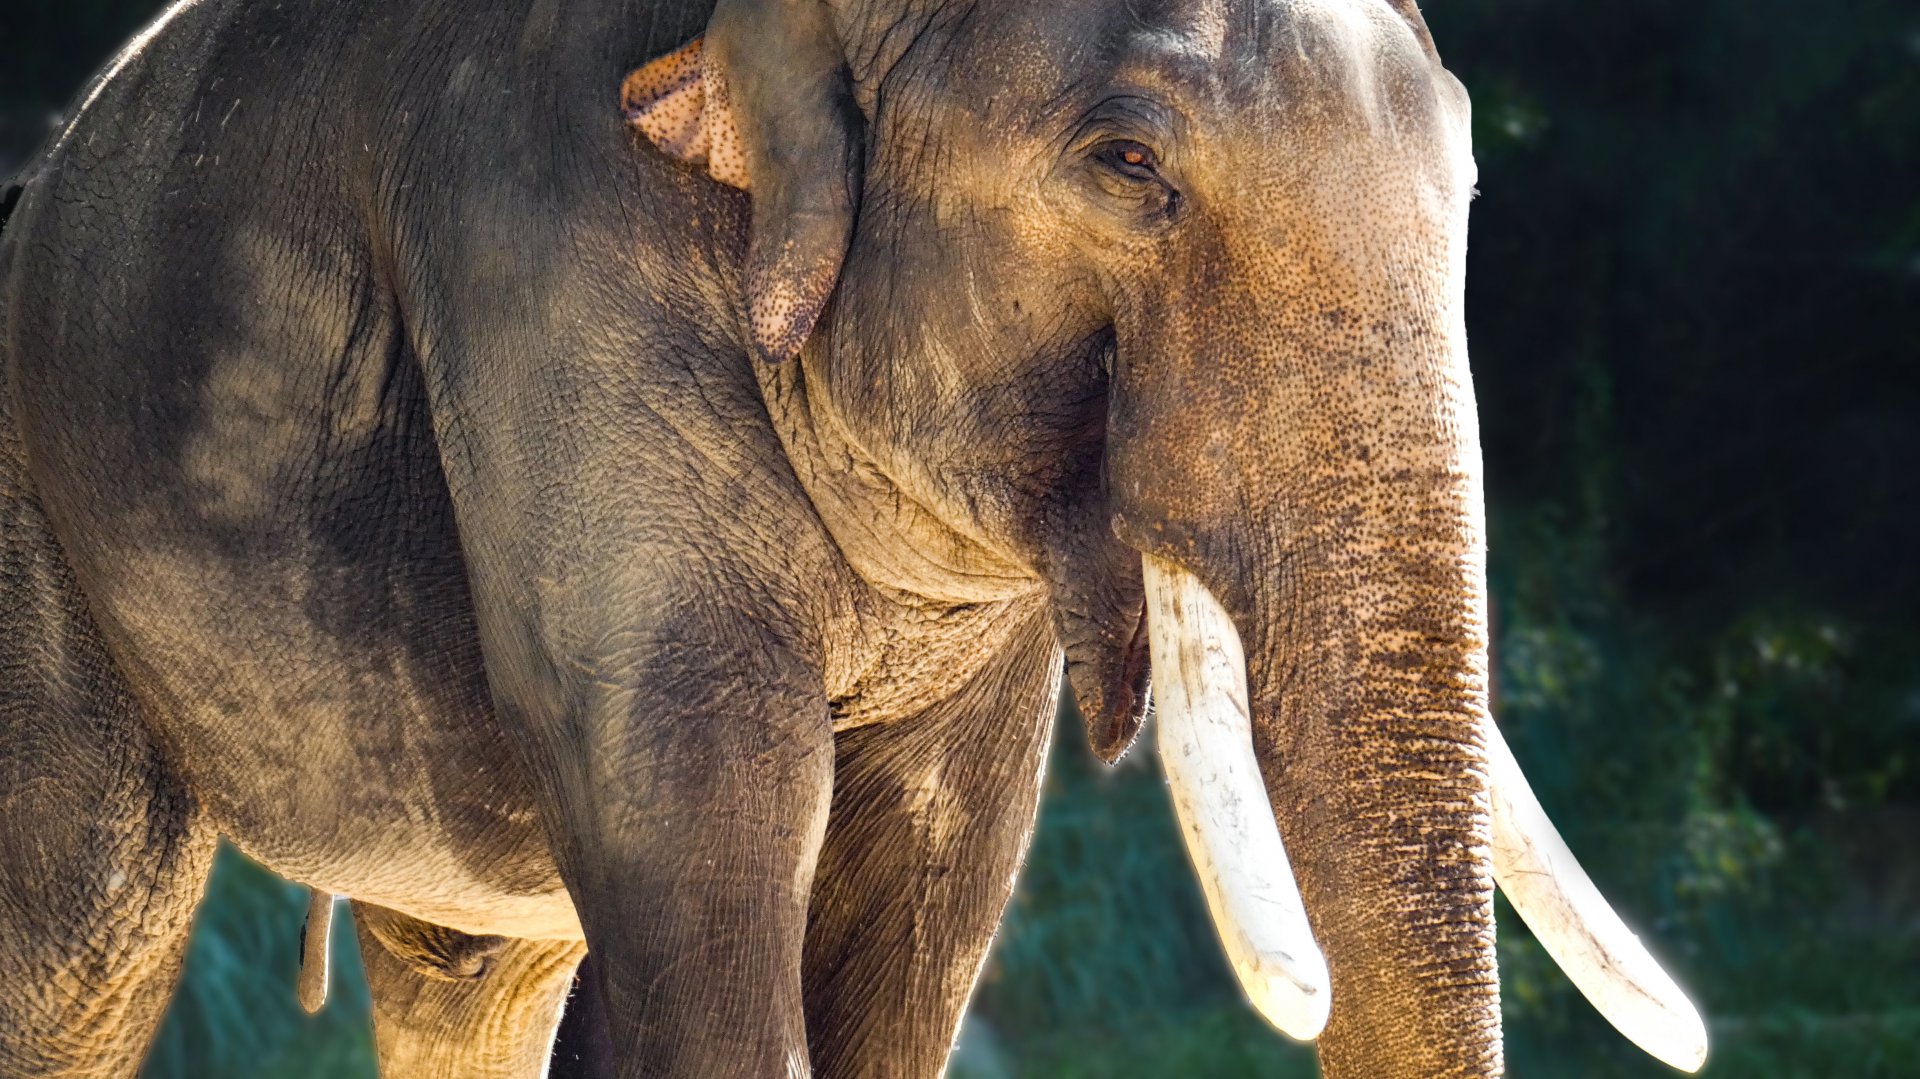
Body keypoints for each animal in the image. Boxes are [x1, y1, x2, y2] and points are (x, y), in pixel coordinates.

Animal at [0, 0, 1709, 1074]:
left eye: (1472, 170)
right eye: (1129, 163)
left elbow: (933, 878)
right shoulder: (549, 280)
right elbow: (700, 821)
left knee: (467, 979)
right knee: (77, 951)